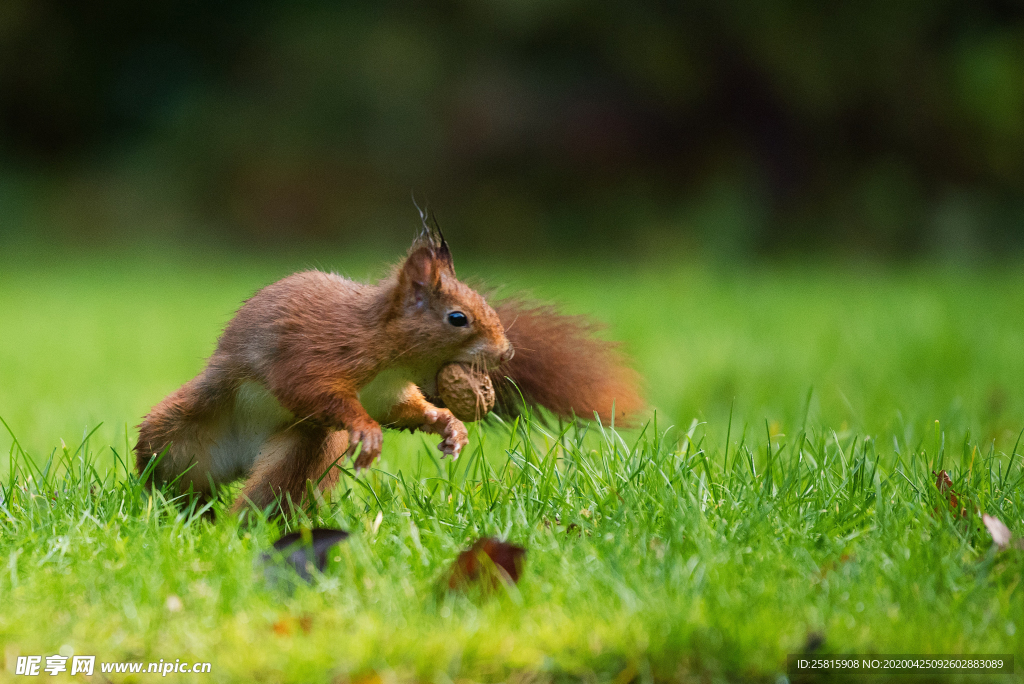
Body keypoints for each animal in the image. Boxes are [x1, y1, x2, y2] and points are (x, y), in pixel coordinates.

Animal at [134, 216, 638, 516]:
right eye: (458, 318)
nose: (507, 353)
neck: (393, 358)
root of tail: (241, 457)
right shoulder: (315, 353)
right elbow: (314, 391)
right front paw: (366, 430)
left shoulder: (389, 393)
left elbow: (407, 412)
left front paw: (449, 426)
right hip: (180, 433)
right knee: (169, 469)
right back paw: (169, 506)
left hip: (301, 451)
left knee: (271, 490)